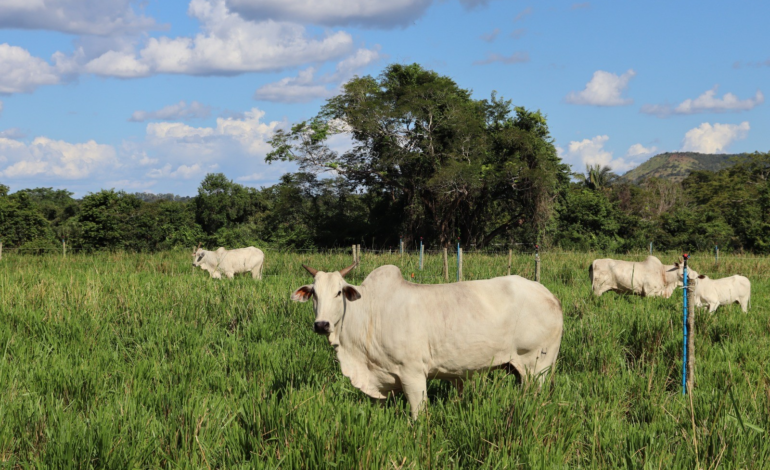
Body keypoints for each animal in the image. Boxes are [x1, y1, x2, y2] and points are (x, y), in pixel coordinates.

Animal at [290, 263, 564, 419]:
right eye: (314, 294)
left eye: (339, 292)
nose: (322, 325)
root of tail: (549, 295)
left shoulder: (412, 373)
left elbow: (418, 415)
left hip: (537, 367)